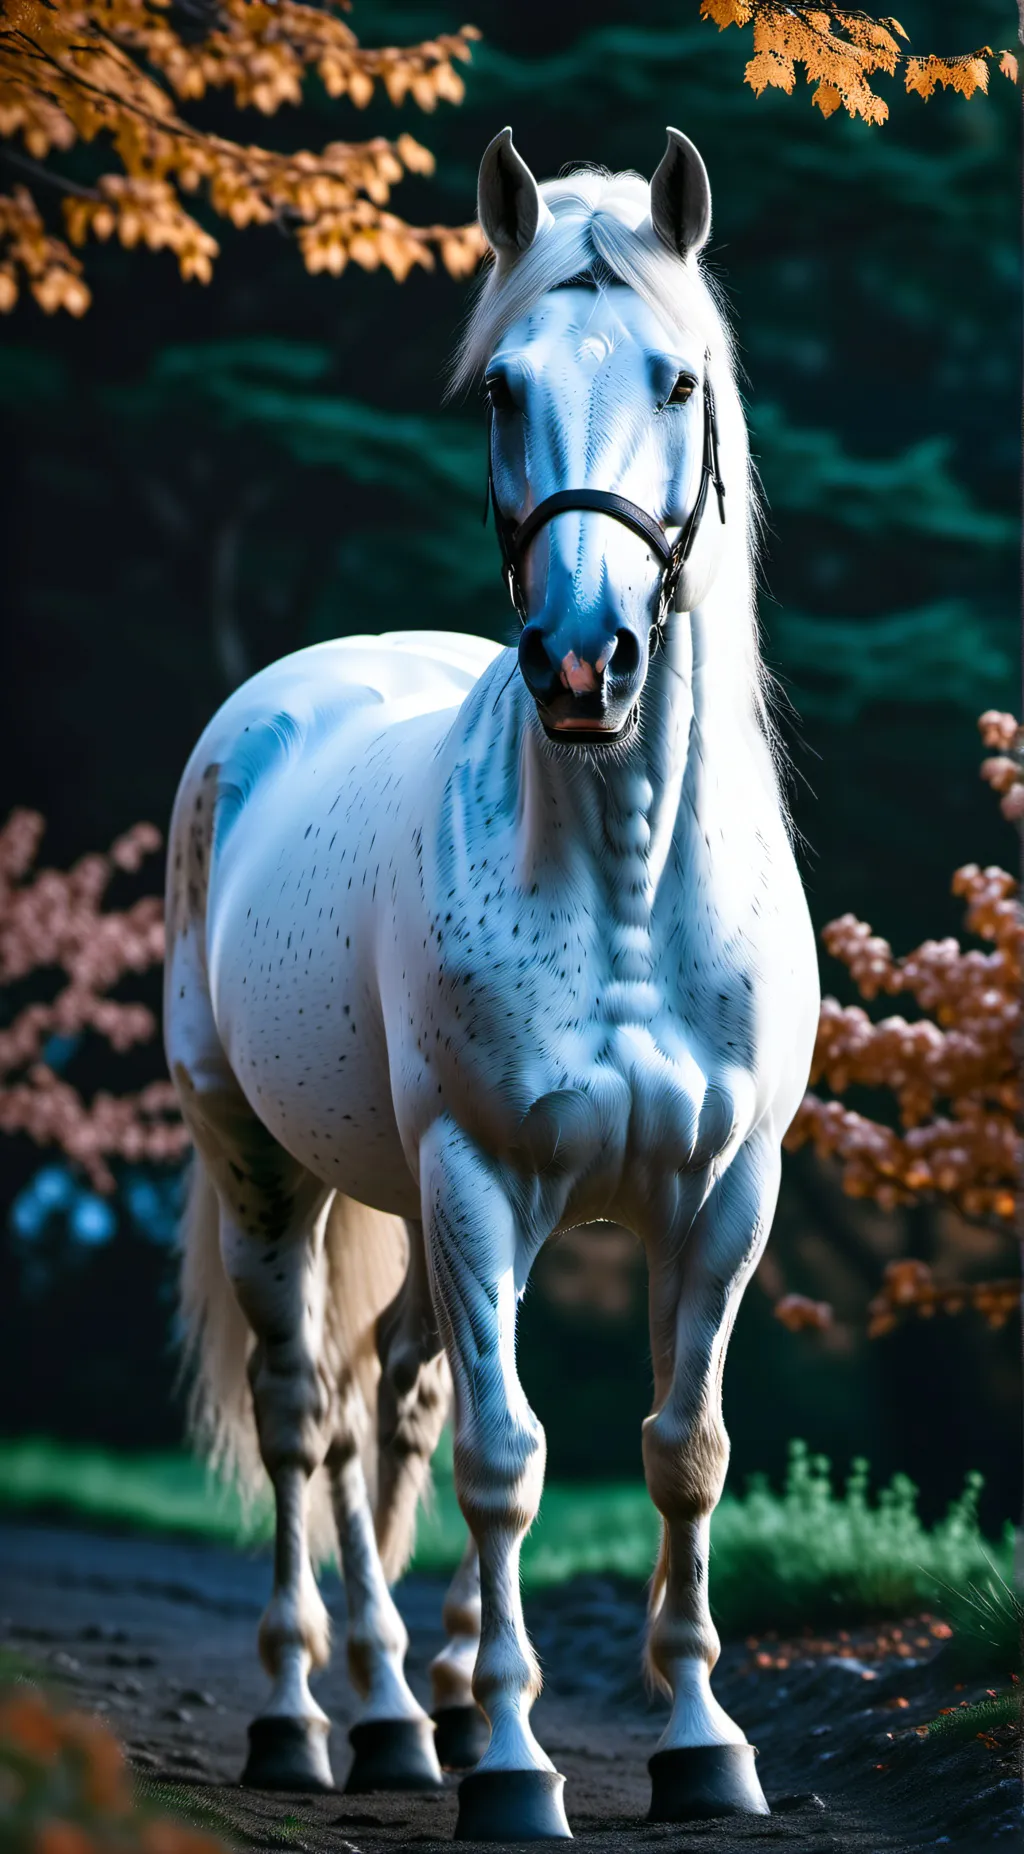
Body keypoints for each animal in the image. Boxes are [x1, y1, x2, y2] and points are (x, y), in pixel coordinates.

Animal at [166, 125, 820, 1839]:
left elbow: (682, 1446)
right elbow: (504, 1458)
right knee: (308, 1416)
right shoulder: (474, 1176)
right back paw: (329, 1714)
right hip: (265, 1172)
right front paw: (521, 1764)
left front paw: (701, 1741)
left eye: (677, 379)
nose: (585, 659)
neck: (629, 882)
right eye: (501, 389)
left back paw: (423, 1707)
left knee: (388, 1403)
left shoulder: (726, 1193)